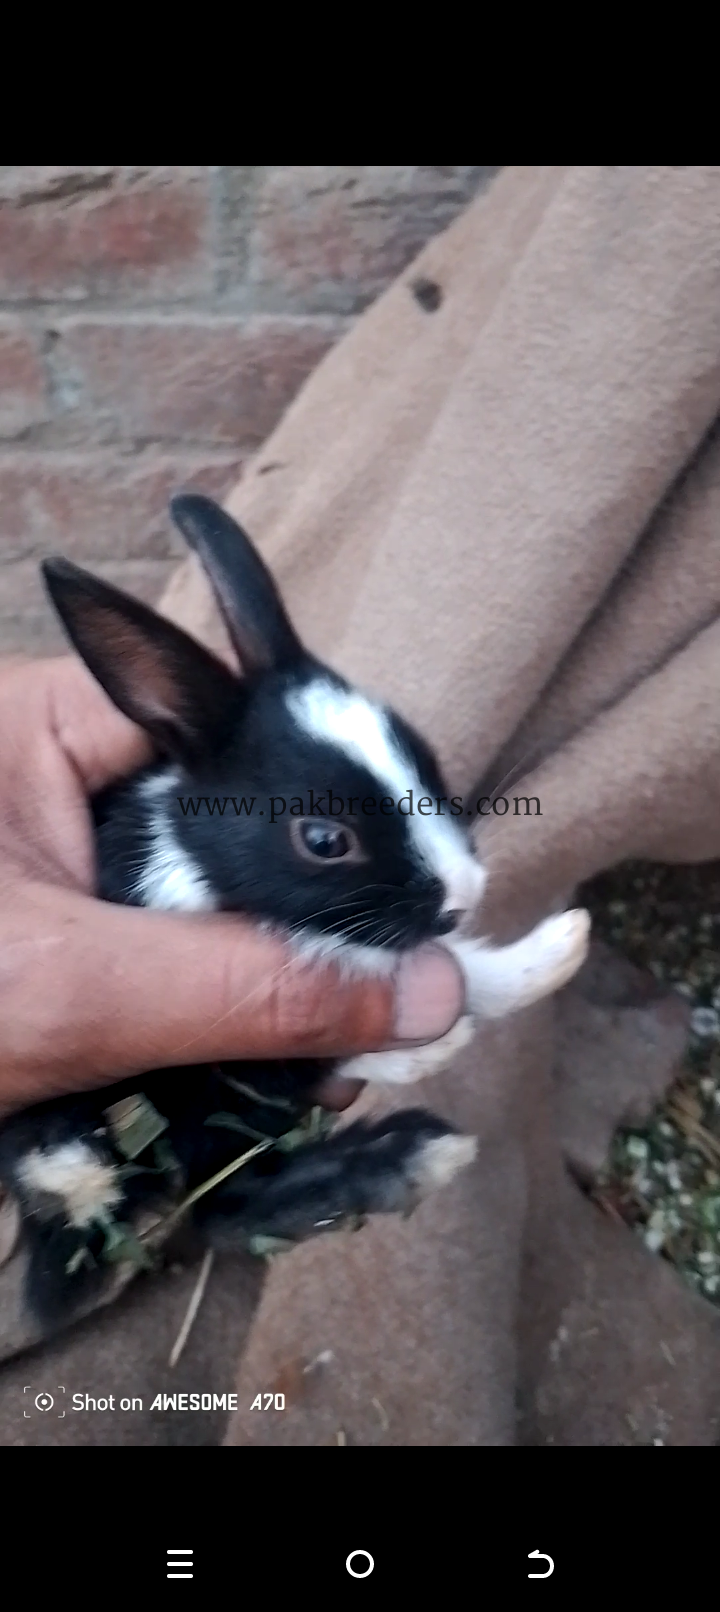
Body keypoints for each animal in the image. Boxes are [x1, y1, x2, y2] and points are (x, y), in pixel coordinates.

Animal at [0, 494, 590, 1338]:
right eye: (323, 840)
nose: (463, 895)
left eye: (427, 759)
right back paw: (408, 1157)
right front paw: (464, 1010)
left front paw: (552, 952)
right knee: (217, 1202)